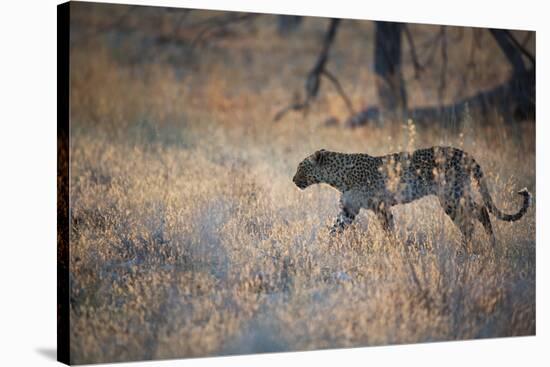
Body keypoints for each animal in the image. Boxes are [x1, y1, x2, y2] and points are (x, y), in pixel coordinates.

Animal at [296, 147, 532, 250]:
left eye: (301, 167)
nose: (293, 179)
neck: (337, 177)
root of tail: (464, 153)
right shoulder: (349, 210)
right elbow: (334, 229)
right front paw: (324, 249)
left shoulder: (380, 206)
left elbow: (388, 229)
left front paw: (391, 249)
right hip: (456, 195)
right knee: (479, 211)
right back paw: (489, 245)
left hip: (451, 196)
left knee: (472, 219)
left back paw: (466, 249)